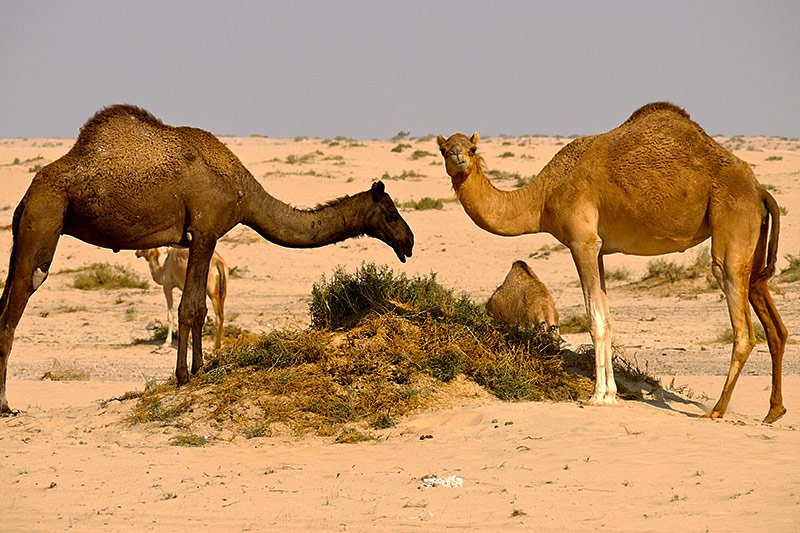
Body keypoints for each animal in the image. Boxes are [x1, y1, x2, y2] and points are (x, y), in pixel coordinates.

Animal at [0, 102, 412, 414]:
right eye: (391, 213)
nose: (408, 242)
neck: (244, 192)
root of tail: (27, 195)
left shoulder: (202, 238)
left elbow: (198, 309)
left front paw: (199, 370)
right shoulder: (205, 231)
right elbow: (191, 307)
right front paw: (184, 377)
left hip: (24, 230)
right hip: (45, 217)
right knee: (17, 303)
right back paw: (5, 405)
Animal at [438, 102, 788, 422]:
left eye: (472, 148)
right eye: (444, 149)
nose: (459, 159)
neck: (543, 197)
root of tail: (759, 190)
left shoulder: (582, 241)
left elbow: (596, 321)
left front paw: (599, 396)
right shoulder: (600, 250)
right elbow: (607, 317)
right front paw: (611, 393)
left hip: (731, 221)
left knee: (742, 327)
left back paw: (716, 410)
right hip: (753, 241)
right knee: (773, 321)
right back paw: (773, 411)